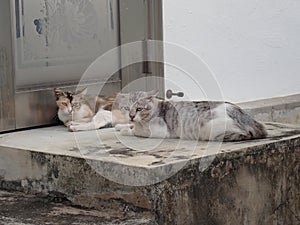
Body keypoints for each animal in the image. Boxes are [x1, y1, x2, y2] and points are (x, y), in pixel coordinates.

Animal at [116, 90, 268, 142]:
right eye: (126, 108)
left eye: (139, 109)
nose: (131, 116)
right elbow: (131, 126)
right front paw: (120, 125)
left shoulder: (160, 131)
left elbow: (136, 131)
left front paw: (125, 130)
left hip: (210, 129)